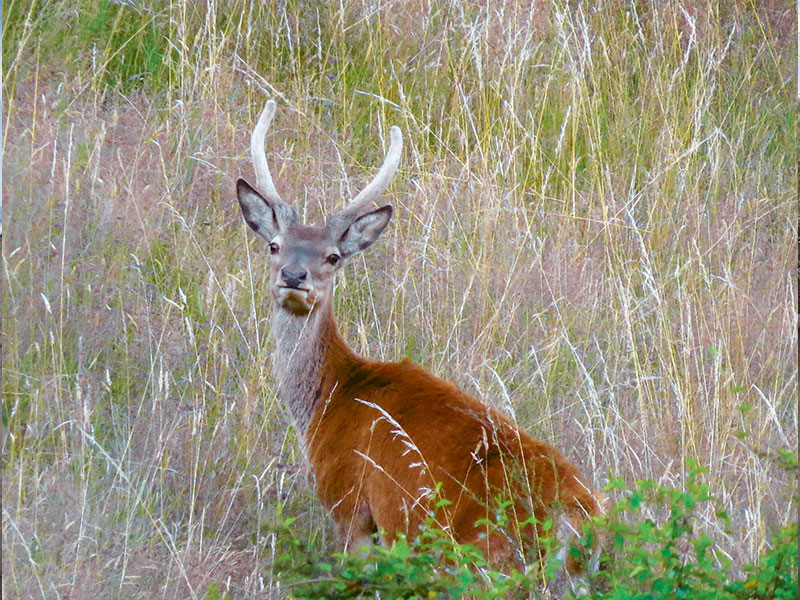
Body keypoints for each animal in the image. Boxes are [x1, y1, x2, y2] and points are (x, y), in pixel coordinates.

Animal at [234, 98, 604, 572]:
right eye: (274, 245)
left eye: (333, 257)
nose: (294, 277)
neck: (328, 398)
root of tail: (579, 521)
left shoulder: (349, 502)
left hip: (481, 555)